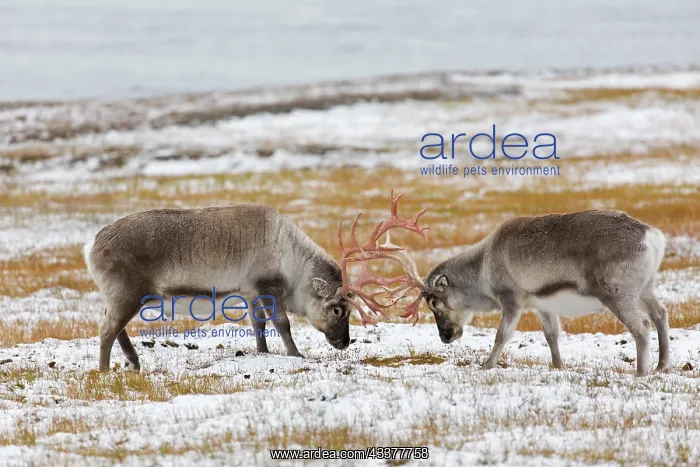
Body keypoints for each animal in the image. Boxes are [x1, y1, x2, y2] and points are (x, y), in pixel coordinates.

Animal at [419, 210, 669, 376]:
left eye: (434, 302)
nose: (445, 336)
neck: (482, 268)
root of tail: (652, 237)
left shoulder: (511, 300)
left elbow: (502, 335)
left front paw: (486, 365)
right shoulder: (543, 306)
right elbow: (552, 335)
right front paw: (558, 366)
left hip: (617, 295)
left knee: (641, 325)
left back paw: (641, 372)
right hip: (646, 290)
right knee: (660, 314)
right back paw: (662, 365)